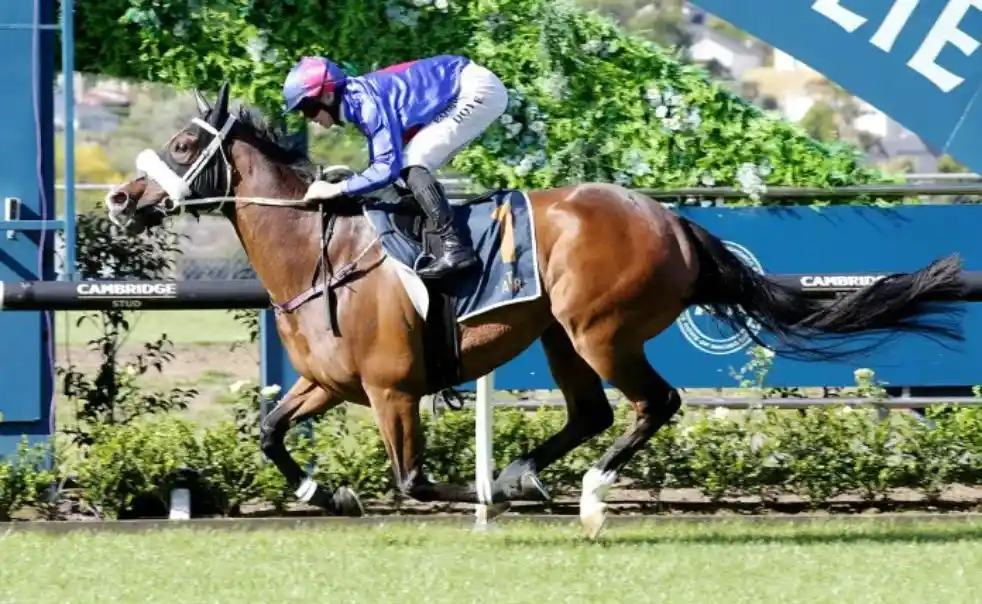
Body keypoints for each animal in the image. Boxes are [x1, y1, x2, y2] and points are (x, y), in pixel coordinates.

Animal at [105, 81, 968, 536]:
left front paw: (488, 493)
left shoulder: (392, 389)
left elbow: (416, 483)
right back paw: (531, 472)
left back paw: (581, 493)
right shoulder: (327, 382)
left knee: (656, 403)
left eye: (184, 146)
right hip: (558, 335)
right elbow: (268, 432)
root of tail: (672, 221)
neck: (323, 248)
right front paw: (327, 492)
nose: (119, 199)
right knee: (593, 412)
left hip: (601, 330)